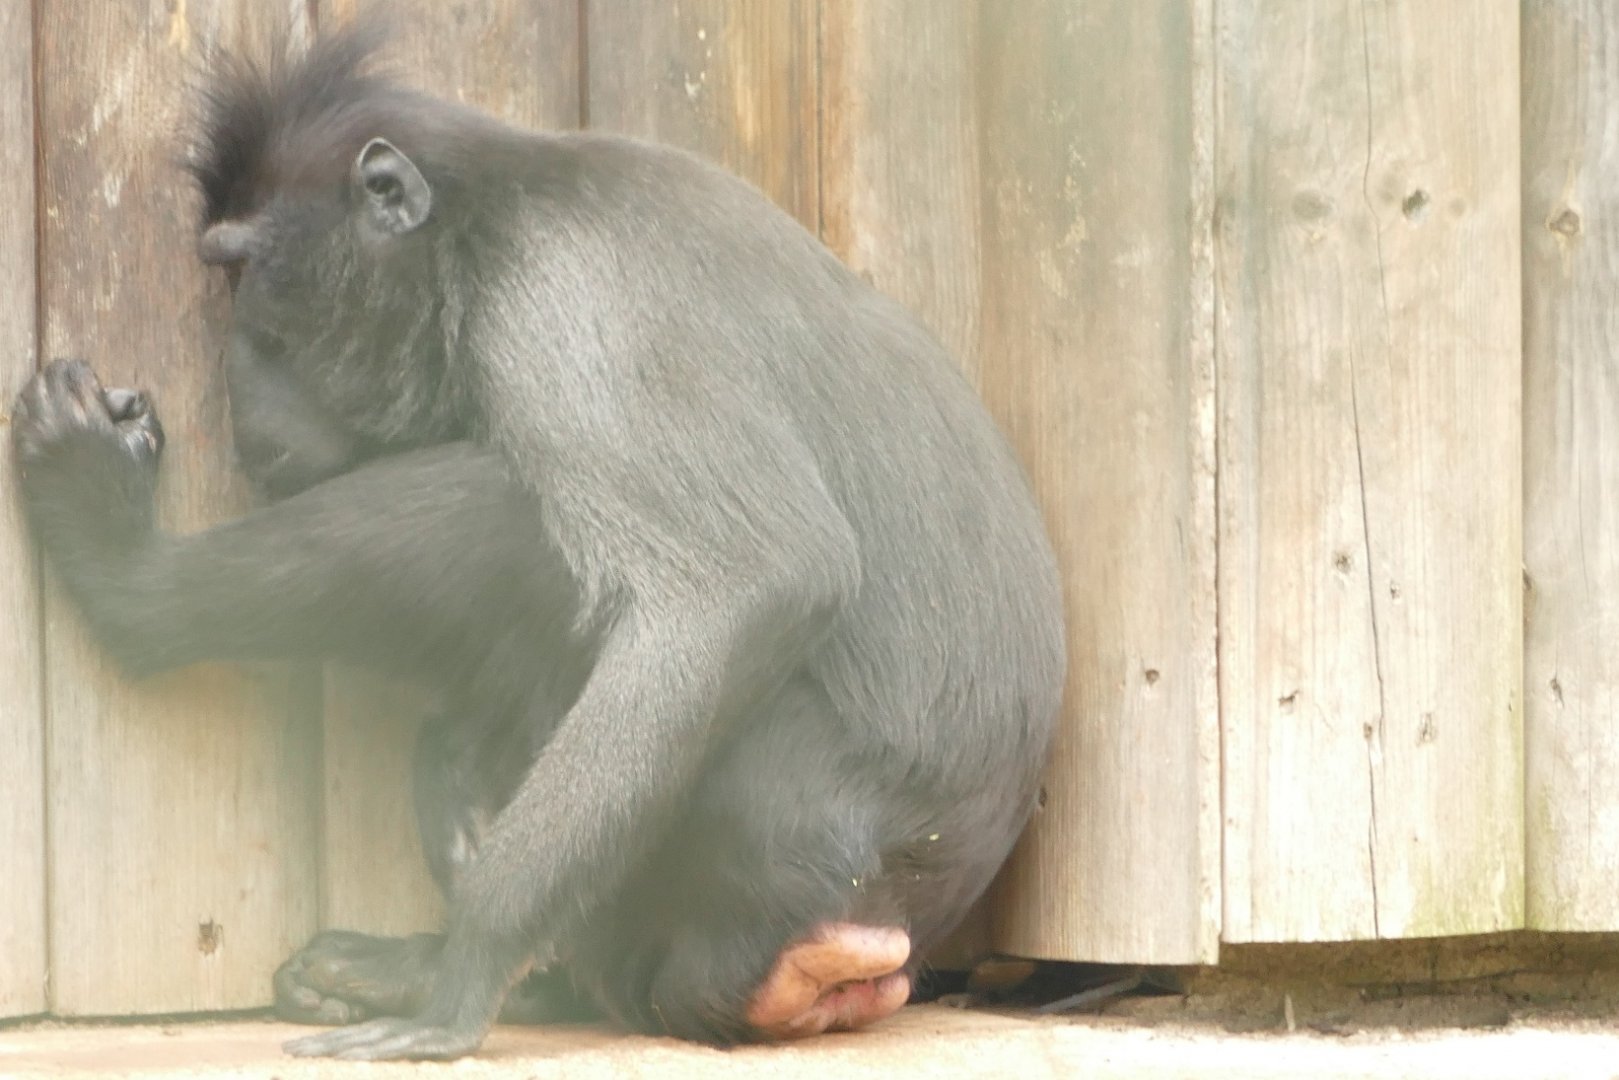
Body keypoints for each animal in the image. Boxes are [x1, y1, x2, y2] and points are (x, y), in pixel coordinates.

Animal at [10, 21, 1066, 1061]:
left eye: (243, 272)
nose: (231, 386)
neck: (493, 208)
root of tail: (879, 933)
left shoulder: (561, 298)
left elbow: (751, 582)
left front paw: (470, 965)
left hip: (776, 828)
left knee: (510, 517)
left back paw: (130, 578)